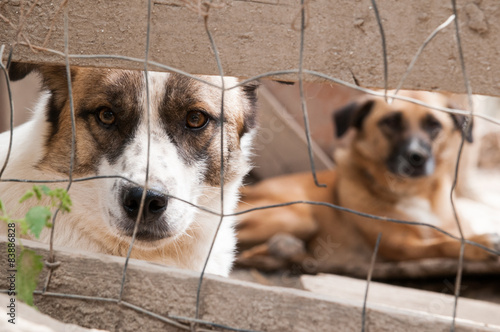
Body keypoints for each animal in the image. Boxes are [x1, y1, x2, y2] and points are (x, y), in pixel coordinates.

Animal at [235, 91, 500, 272]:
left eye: (433, 125)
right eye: (390, 122)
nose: (417, 157)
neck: (412, 192)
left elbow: (450, 236)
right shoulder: (401, 247)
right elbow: (441, 244)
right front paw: (480, 244)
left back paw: (287, 250)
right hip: (298, 217)